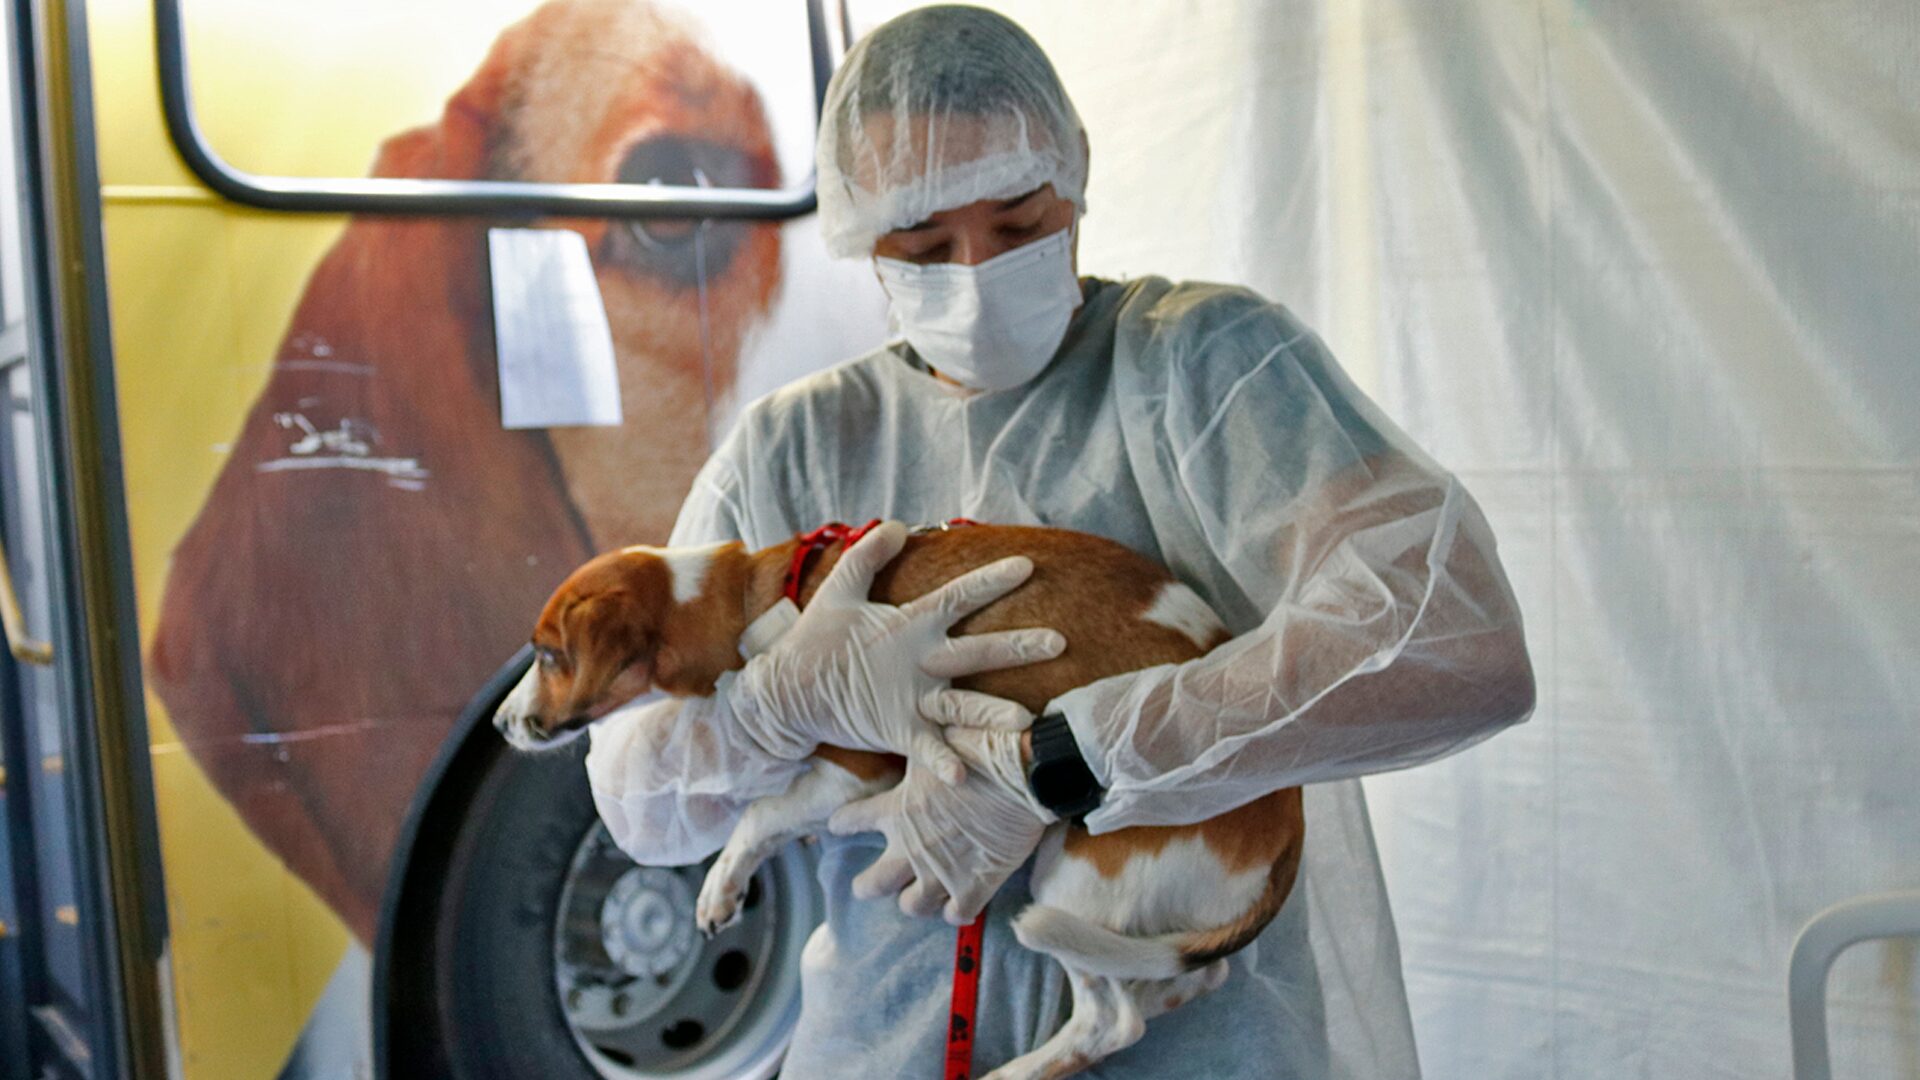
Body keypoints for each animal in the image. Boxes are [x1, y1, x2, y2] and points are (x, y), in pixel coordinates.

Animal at [499, 522, 1305, 1076]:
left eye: (549, 656)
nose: (500, 723)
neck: (746, 600)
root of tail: (1290, 823)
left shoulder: (856, 768)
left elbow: (760, 813)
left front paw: (721, 886)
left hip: (1074, 881)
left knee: (1113, 1021)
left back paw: (1018, 1072)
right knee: (1177, 981)